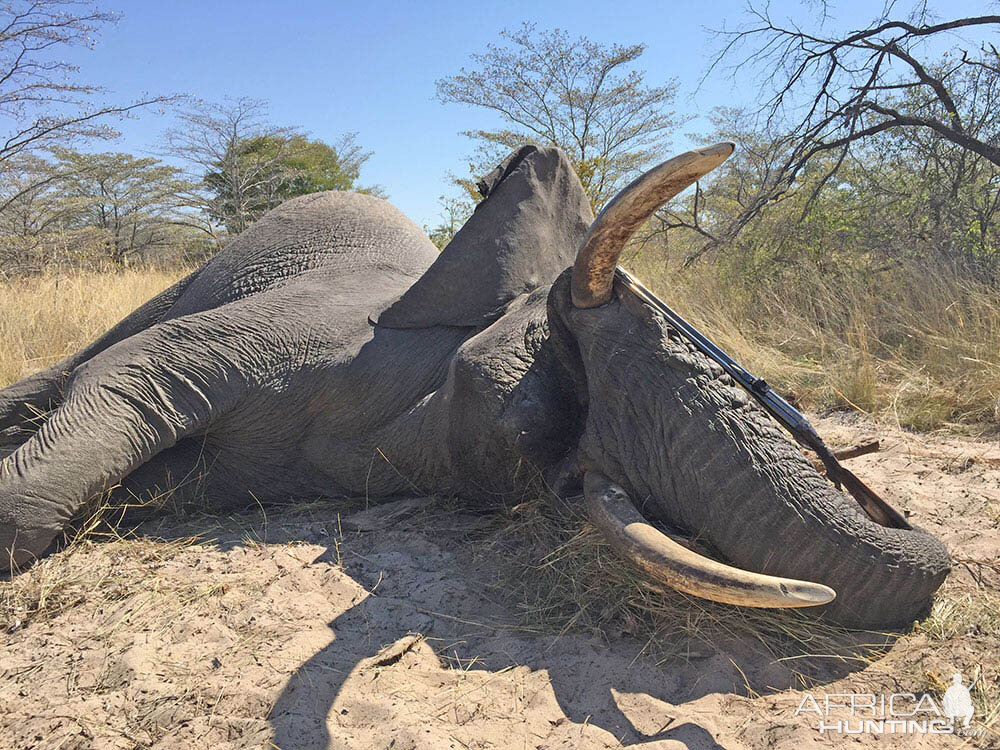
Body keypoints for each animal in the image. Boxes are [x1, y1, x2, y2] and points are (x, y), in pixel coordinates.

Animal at [0, 141, 948, 628]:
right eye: (544, 337)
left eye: (555, 473)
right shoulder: (302, 330)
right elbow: (131, 377)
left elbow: (145, 481)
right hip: (221, 264)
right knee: (97, 352)